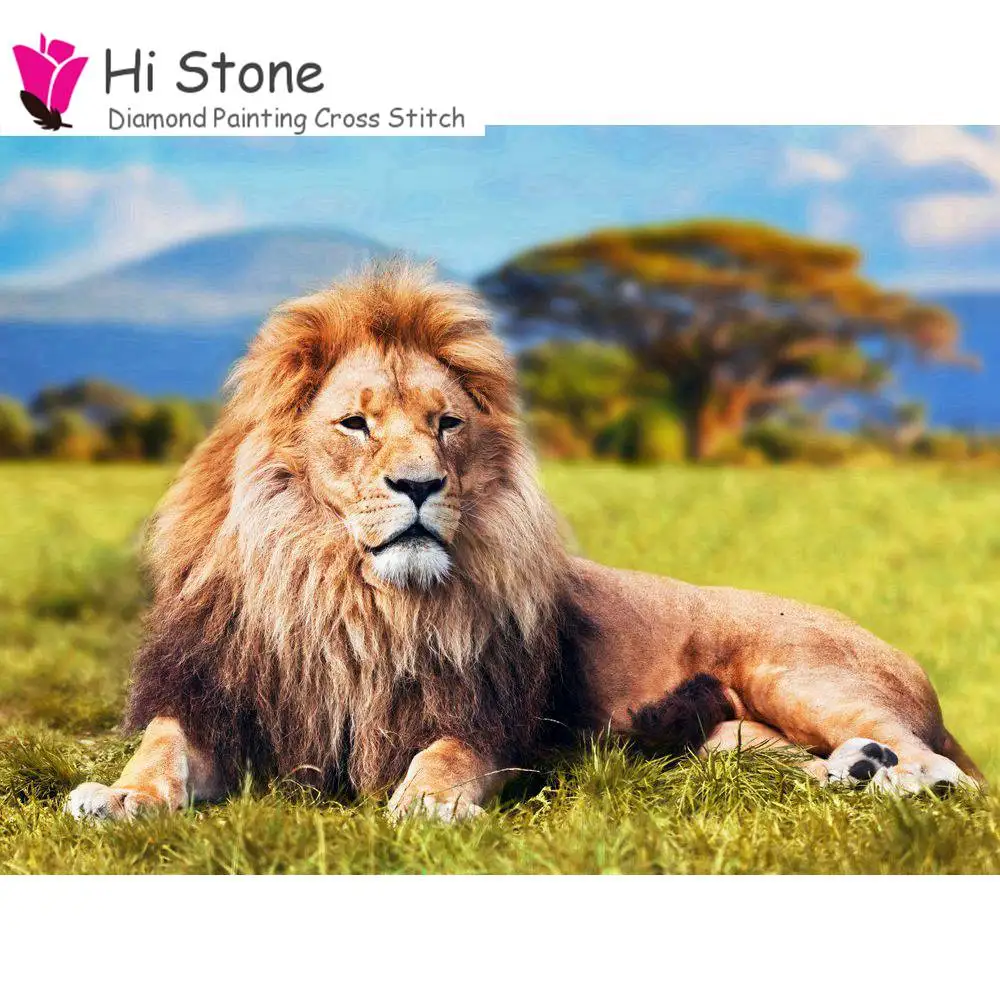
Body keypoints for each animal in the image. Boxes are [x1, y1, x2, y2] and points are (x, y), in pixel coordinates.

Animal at [67, 264, 982, 823]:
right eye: (356, 423)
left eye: (446, 424)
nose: (420, 486)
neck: (350, 599)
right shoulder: (213, 700)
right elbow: (160, 750)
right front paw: (116, 798)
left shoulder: (484, 719)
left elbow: (444, 756)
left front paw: (428, 803)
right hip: (727, 740)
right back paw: (855, 772)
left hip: (793, 669)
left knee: (945, 769)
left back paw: (900, 777)